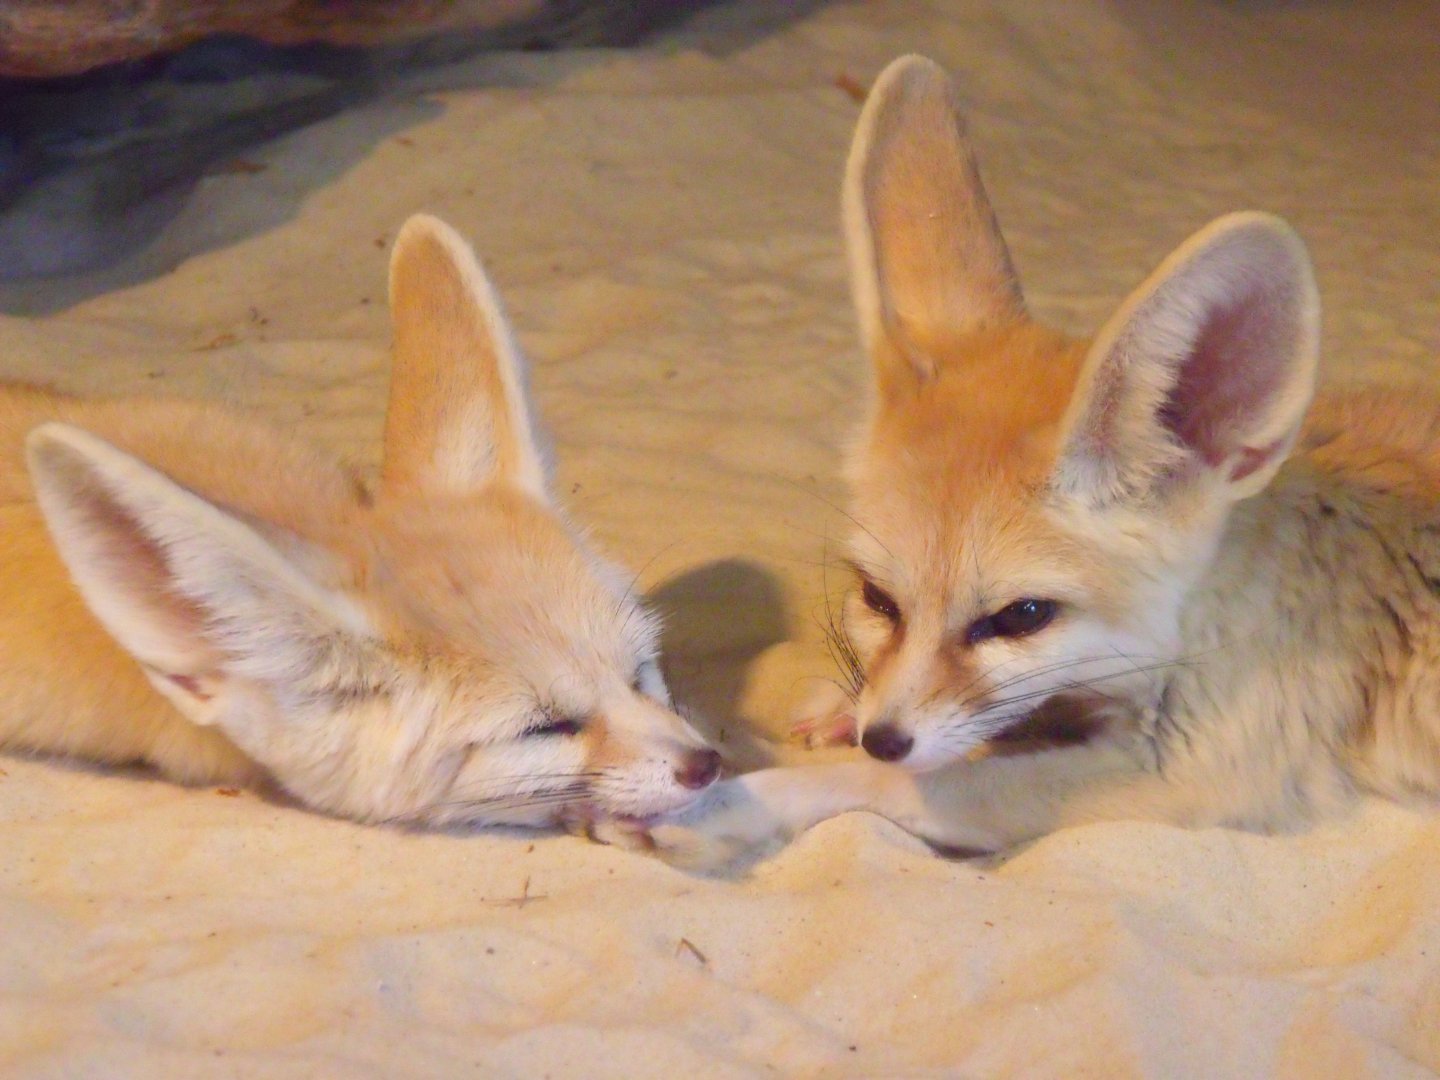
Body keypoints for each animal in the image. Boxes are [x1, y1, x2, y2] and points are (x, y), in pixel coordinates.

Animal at [635, 54, 1440, 869]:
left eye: (1022, 616)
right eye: (875, 598)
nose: (883, 737)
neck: (1213, 611)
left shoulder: (1202, 773)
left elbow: (902, 785)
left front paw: (739, 803)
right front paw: (844, 705)